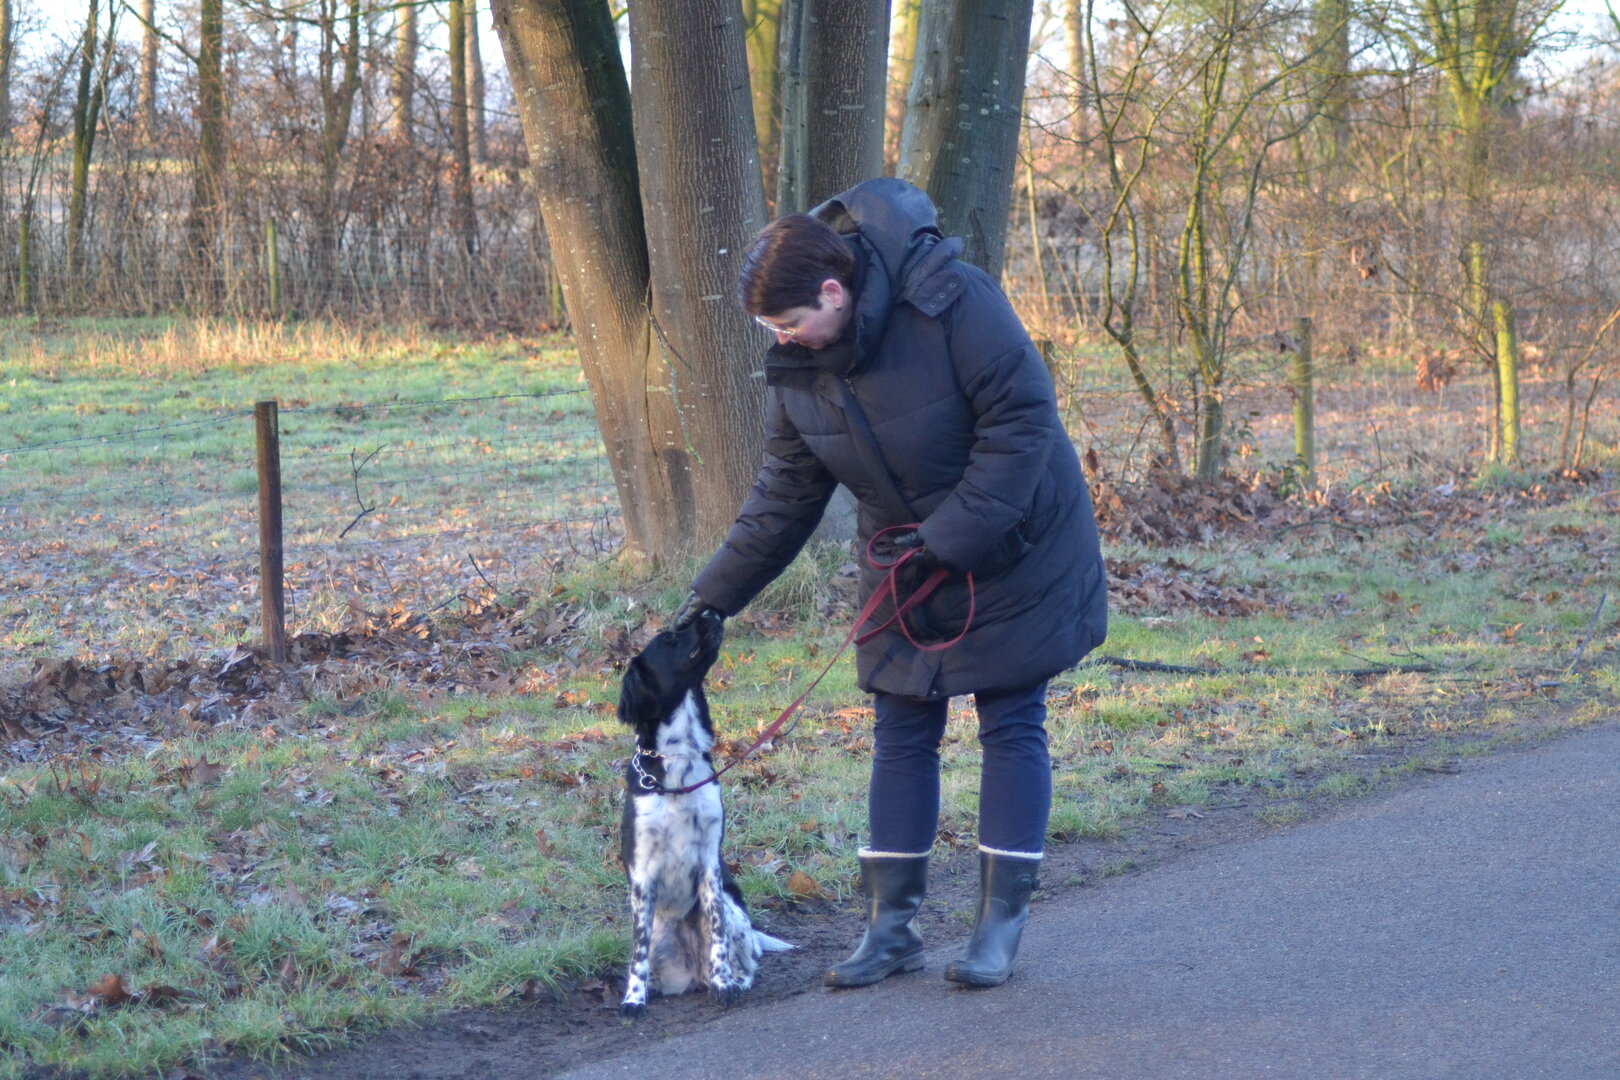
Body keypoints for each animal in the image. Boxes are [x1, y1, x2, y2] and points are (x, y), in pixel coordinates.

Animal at [616, 609, 792, 1017]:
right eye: (668, 640)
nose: (710, 612)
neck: (679, 758)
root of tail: (692, 974)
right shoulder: (642, 871)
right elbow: (637, 951)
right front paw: (634, 997)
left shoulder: (710, 859)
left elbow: (717, 936)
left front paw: (724, 984)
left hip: (734, 910)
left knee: (746, 957)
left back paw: (731, 980)